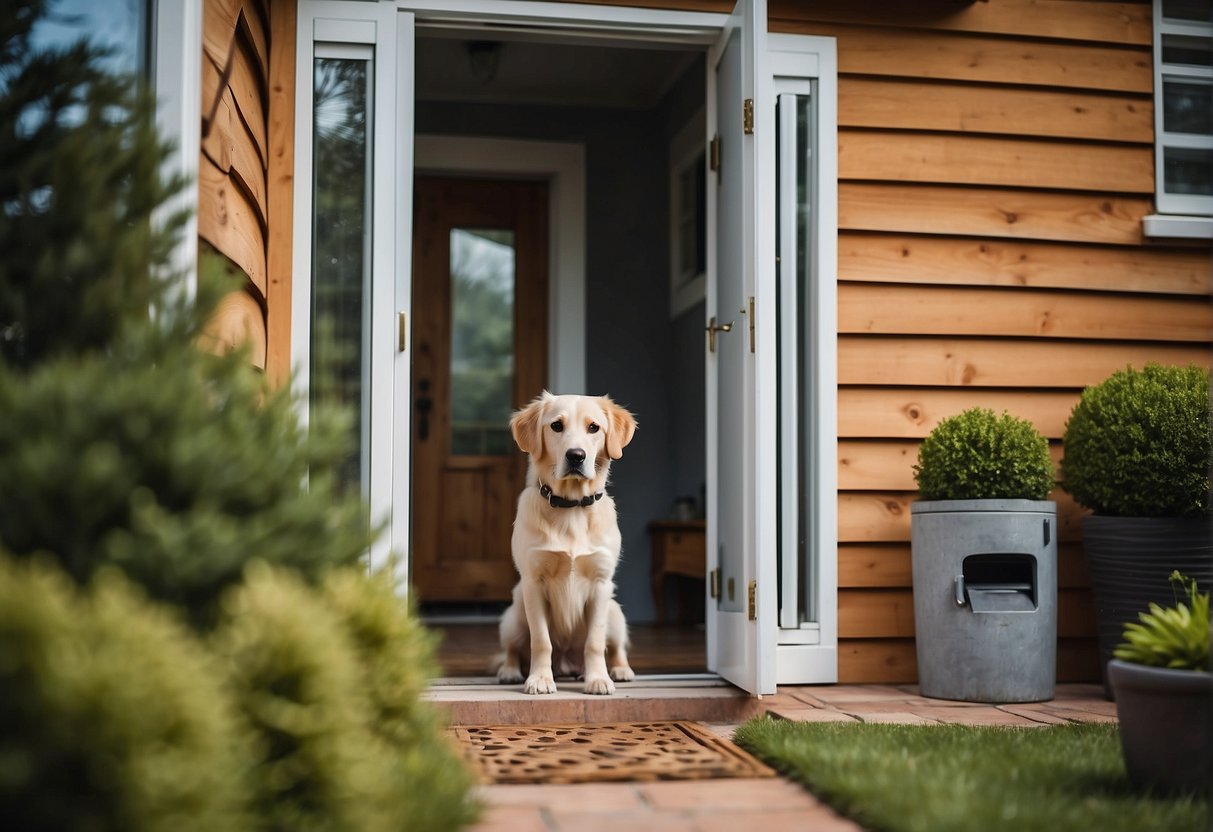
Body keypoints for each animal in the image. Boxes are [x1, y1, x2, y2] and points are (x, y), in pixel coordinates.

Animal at [497, 395, 640, 693]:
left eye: (594, 427)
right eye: (556, 425)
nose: (576, 455)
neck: (571, 506)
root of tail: (566, 664)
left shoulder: (601, 583)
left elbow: (595, 643)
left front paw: (598, 679)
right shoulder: (533, 582)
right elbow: (541, 641)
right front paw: (540, 679)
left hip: (615, 612)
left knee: (616, 646)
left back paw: (619, 670)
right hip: (514, 615)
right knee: (512, 648)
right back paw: (510, 671)